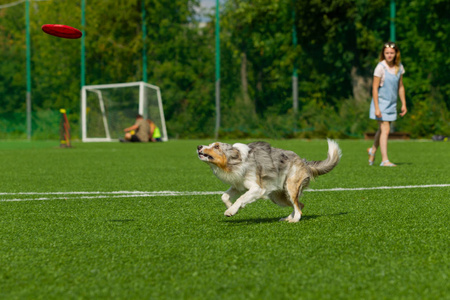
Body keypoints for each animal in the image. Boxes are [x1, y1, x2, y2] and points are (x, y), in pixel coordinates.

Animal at [197, 139, 342, 221]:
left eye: (216, 147)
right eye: (209, 144)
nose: (198, 146)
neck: (236, 161)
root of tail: (304, 162)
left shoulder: (257, 188)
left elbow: (241, 198)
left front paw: (231, 211)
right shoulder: (238, 186)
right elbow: (224, 196)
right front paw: (232, 207)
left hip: (290, 187)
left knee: (299, 207)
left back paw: (294, 220)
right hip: (278, 196)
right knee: (300, 205)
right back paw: (288, 218)